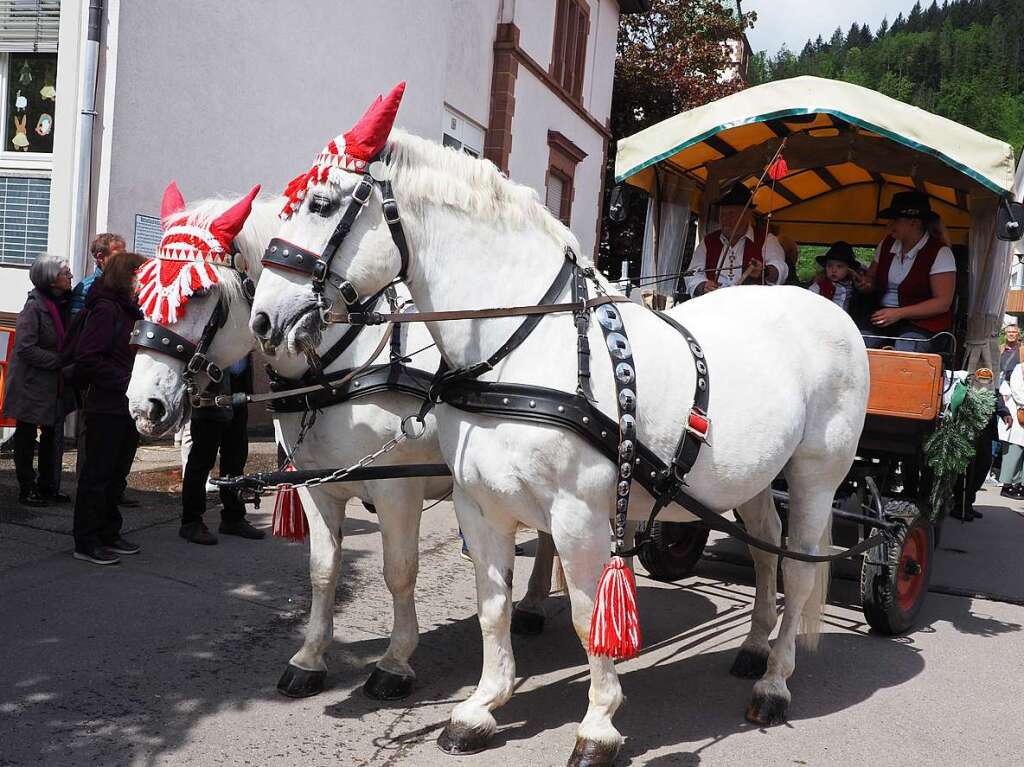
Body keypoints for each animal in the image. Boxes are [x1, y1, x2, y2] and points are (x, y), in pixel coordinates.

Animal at [125, 190, 561, 700]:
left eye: (197, 293)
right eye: (142, 291)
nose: (143, 405)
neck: (336, 367)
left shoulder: (397, 490)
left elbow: (399, 570)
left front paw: (395, 661)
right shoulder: (317, 486)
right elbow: (323, 568)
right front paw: (310, 657)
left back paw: (531, 604)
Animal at [251, 128, 868, 761]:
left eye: (321, 204)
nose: (265, 320)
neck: (524, 340)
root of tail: (822, 308)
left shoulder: (572, 513)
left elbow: (585, 612)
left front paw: (597, 725)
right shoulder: (473, 505)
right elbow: (485, 603)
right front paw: (480, 707)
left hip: (816, 474)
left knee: (799, 569)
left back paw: (775, 682)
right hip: (752, 478)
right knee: (767, 548)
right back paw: (753, 648)